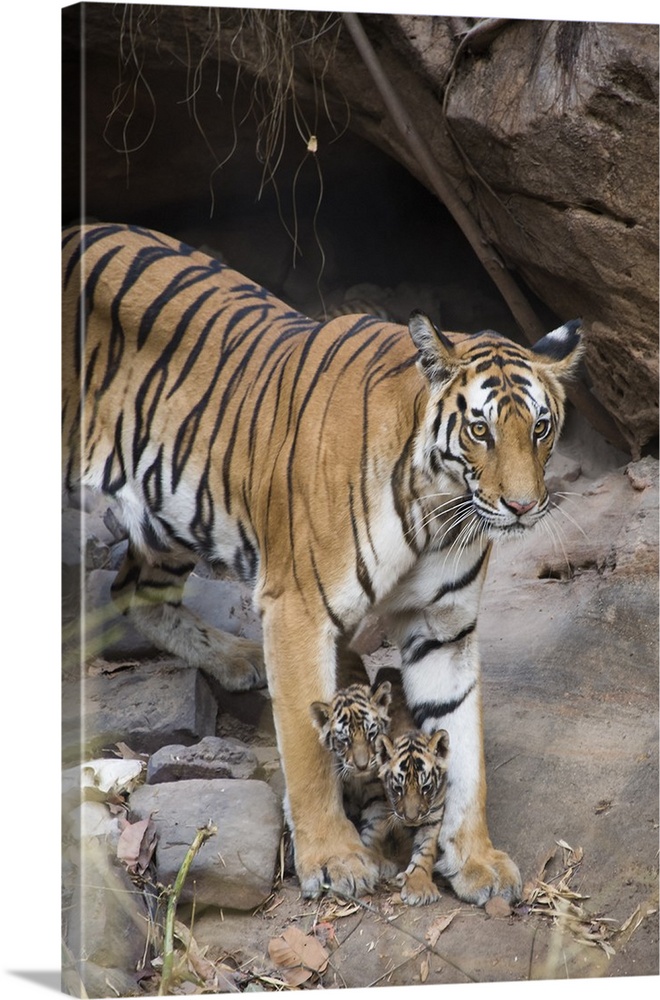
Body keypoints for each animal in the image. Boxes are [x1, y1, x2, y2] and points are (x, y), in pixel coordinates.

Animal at [59, 225, 580, 908]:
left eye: (540, 428)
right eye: (480, 431)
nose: (523, 507)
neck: (436, 508)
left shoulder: (445, 627)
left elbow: (465, 747)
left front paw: (475, 860)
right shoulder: (297, 610)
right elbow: (308, 749)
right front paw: (334, 860)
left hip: (168, 509)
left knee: (135, 589)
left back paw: (237, 659)